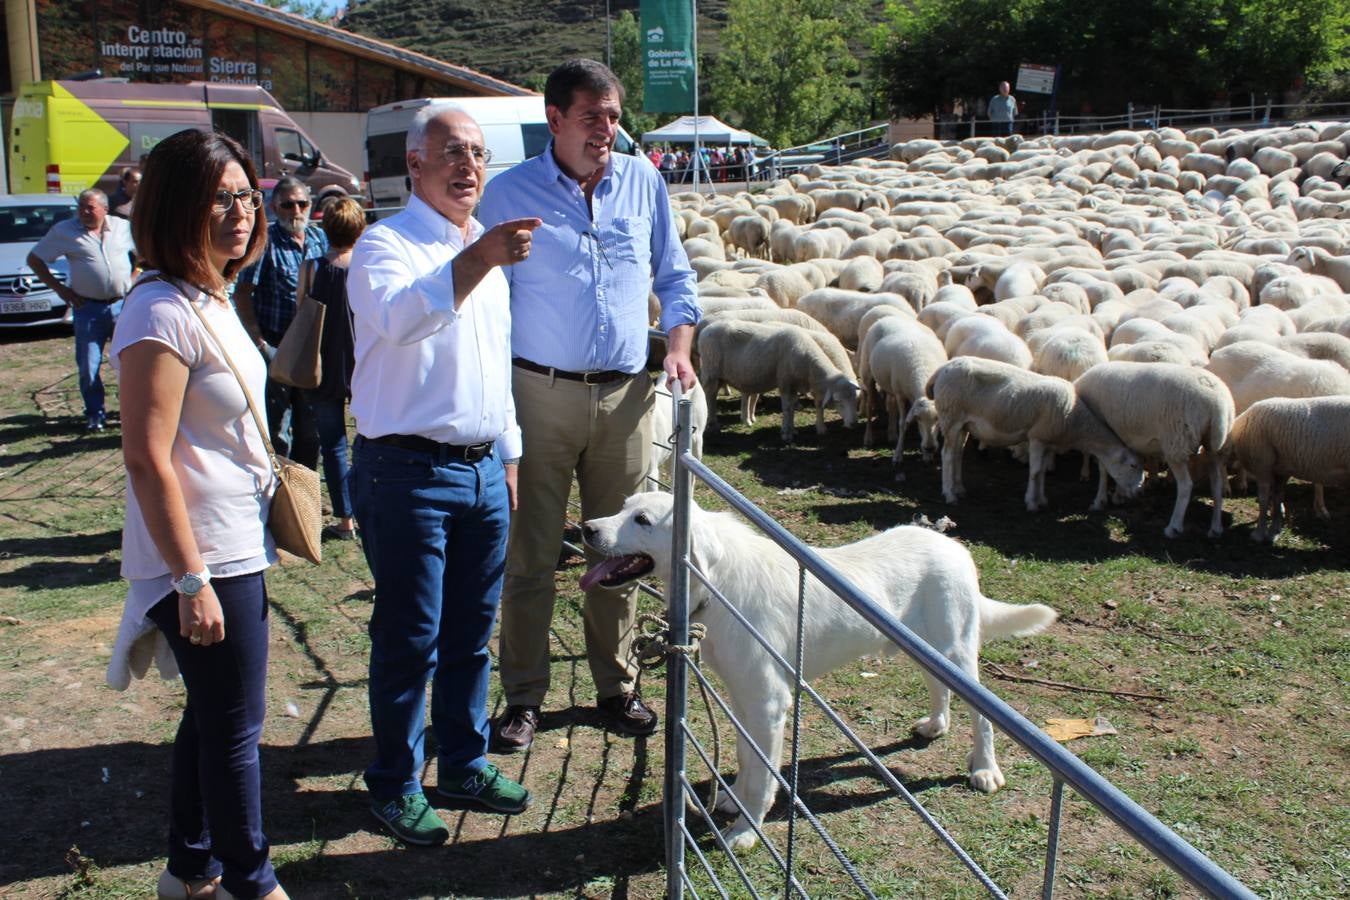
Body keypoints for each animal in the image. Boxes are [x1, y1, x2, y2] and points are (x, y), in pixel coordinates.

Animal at [580, 493, 1053, 852]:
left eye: (642, 520)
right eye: (623, 507)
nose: (586, 528)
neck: (714, 582)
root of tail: (955, 547)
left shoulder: (769, 703)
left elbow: (761, 778)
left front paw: (745, 832)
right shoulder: (745, 698)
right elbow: (748, 760)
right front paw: (734, 802)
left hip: (955, 649)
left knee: (984, 715)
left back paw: (985, 770)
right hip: (926, 652)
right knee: (941, 690)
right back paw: (936, 725)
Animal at [928, 358, 1139, 512]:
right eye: (1133, 465)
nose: (1138, 490)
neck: (1075, 419)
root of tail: (942, 369)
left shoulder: (1047, 440)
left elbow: (1043, 471)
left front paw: (1042, 499)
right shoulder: (1037, 437)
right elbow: (1035, 471)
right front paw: (1031, 502)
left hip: (963, 425)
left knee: (957, 454)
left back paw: (959, 488)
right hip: (950, 416)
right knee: (947, 455)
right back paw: (949, 494)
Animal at [1074, 361, 1236, 539]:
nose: (1138, 493)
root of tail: (1218, 404)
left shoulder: (1105, 432)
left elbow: (1104, 469)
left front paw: (1099, 501)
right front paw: (1119, 495)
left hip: (1176, 442)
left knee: (1186, 485)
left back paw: (1173, 527)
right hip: (1214, 445)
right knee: (1216, 484)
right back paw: (1216, 527)